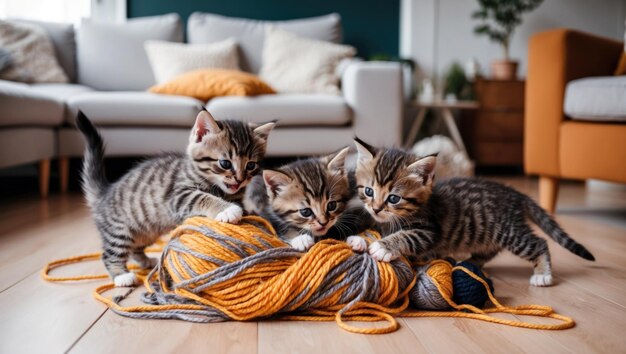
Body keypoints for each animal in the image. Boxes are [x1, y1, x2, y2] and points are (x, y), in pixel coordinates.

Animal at [75, 109, 272, 286]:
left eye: (251, 165)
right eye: (225, 163)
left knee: (134, 249)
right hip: (119, 229)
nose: (239, 179)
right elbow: (202, 197)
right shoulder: (178, 196)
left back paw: (146, 261)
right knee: (110, 253)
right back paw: (121, 275)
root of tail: (104, 192)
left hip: (146, 231)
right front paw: (226, 209)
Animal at [348, 138, 592, 288]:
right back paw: (466, 261)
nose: (376, 208)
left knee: (538, 243)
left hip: (509, 231)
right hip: (487, 233)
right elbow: (372, 227)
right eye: (369, 191)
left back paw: (542, 274)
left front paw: (383, 246)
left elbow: (406, 236)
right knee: (489, 250)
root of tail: (514, 193)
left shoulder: (428, 231)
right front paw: (358, 240)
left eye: (393, 198)